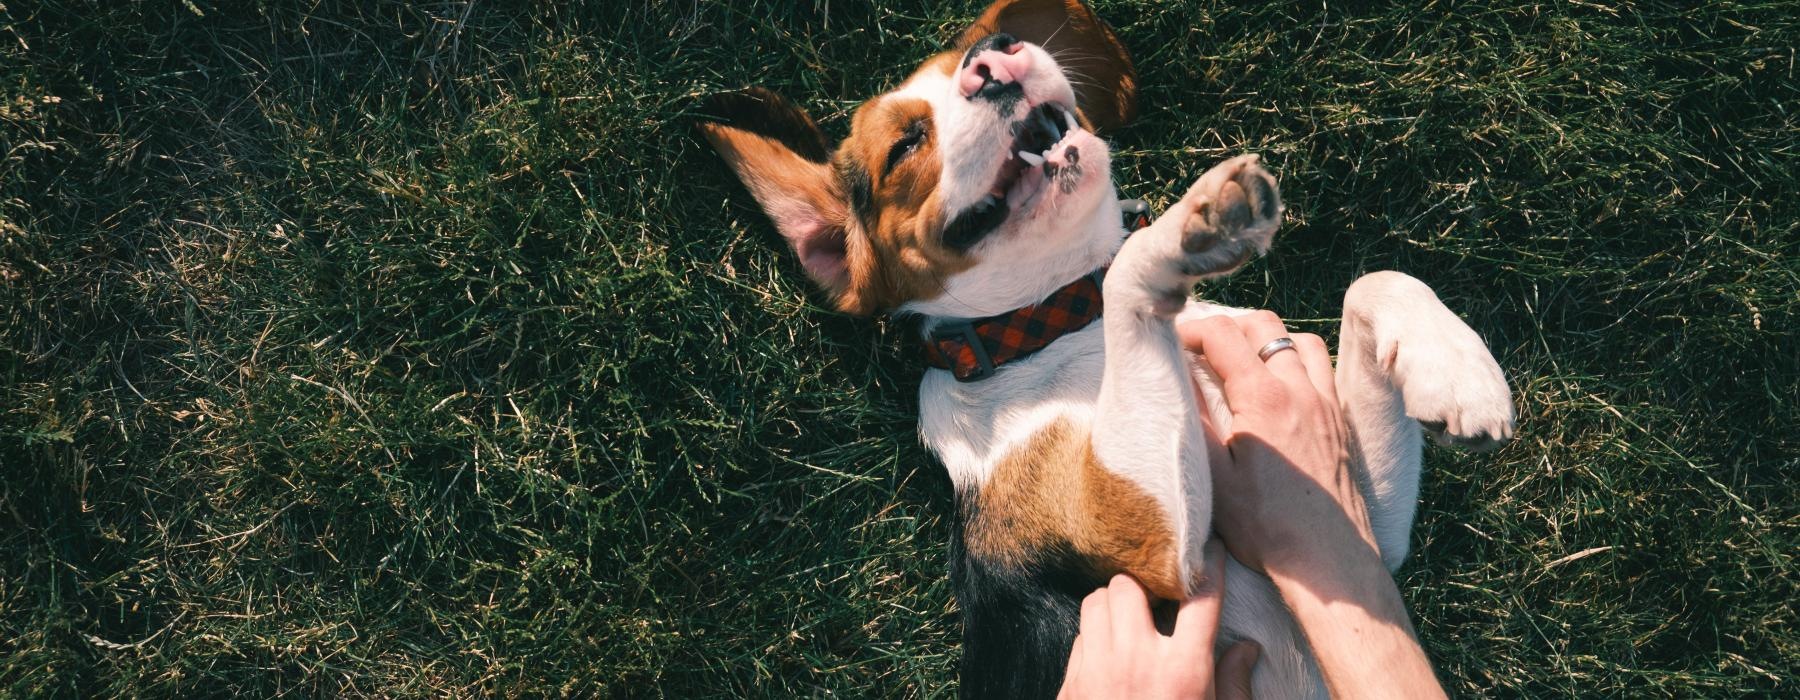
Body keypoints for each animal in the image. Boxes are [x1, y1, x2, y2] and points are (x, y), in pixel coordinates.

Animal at [694, 0, 1512, 691]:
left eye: (979, 45)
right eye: (904, 144)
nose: (993, 59)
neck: (1059, 327)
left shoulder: (1357, 533)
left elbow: (1375, 279)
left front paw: (1459, 374)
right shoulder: (1151, 541)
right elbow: (1128, 268)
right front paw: (1190, 226)